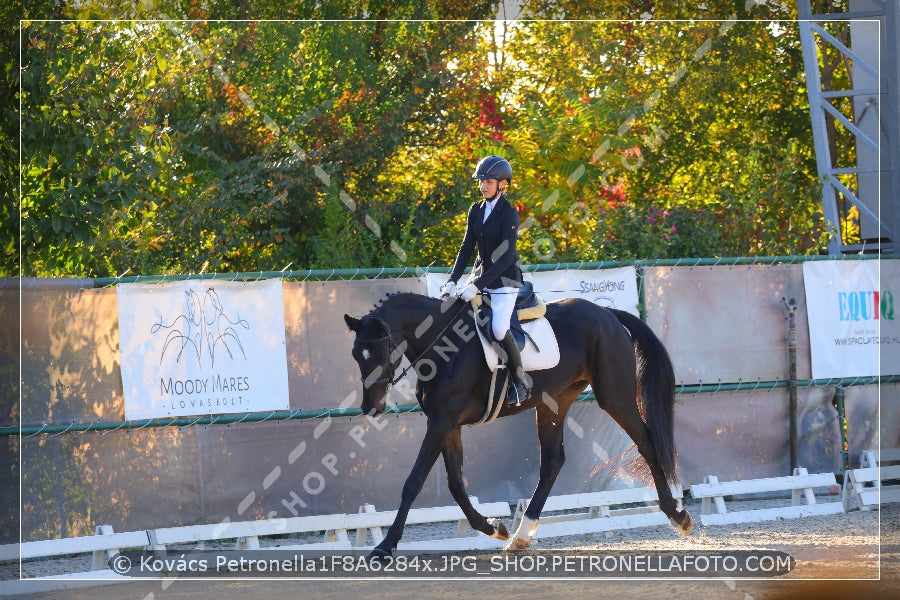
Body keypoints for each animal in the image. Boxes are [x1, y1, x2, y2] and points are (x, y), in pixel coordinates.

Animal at [342, 290, 688, 556]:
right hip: (554, 403)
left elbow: (413, 482)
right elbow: (456, 483)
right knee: (552, 462)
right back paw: (521, 535)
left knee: (646, 442)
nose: (370, 406)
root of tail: (606, 313)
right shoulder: (448, 424)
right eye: (356, 355)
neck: (443, 345)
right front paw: (494, 527)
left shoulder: (442, 421)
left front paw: (386, 546)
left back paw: (677, 515)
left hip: (614, 397)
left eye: (383, 352)